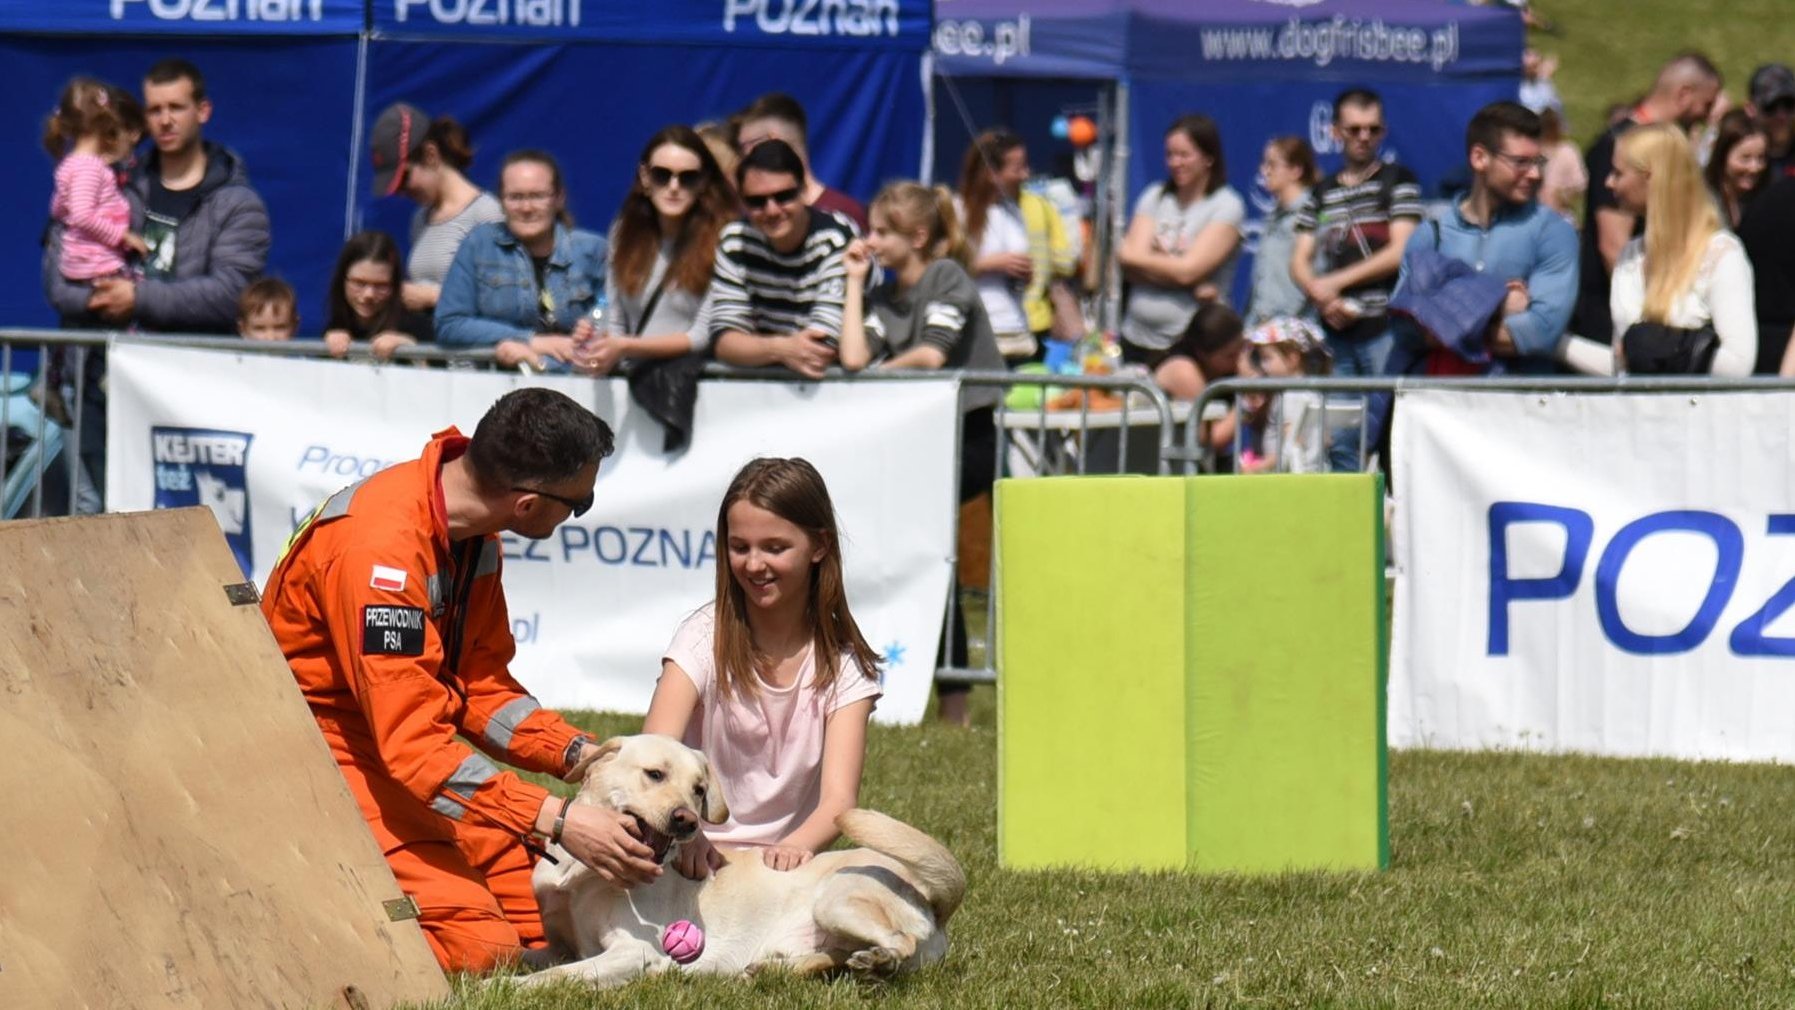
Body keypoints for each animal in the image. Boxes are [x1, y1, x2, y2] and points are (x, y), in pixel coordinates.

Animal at [520, 731, 969, 990]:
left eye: (699, 789)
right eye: (655, 774)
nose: (687, 821)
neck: (580, 873)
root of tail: (936, 901)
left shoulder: (634, 951)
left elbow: (557, 976)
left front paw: (514, 988)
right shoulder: (559, 944)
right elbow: (530, 957)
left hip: (837, 899)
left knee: (899, 942)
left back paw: (879, 962)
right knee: (833, 960)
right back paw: (772, 971)